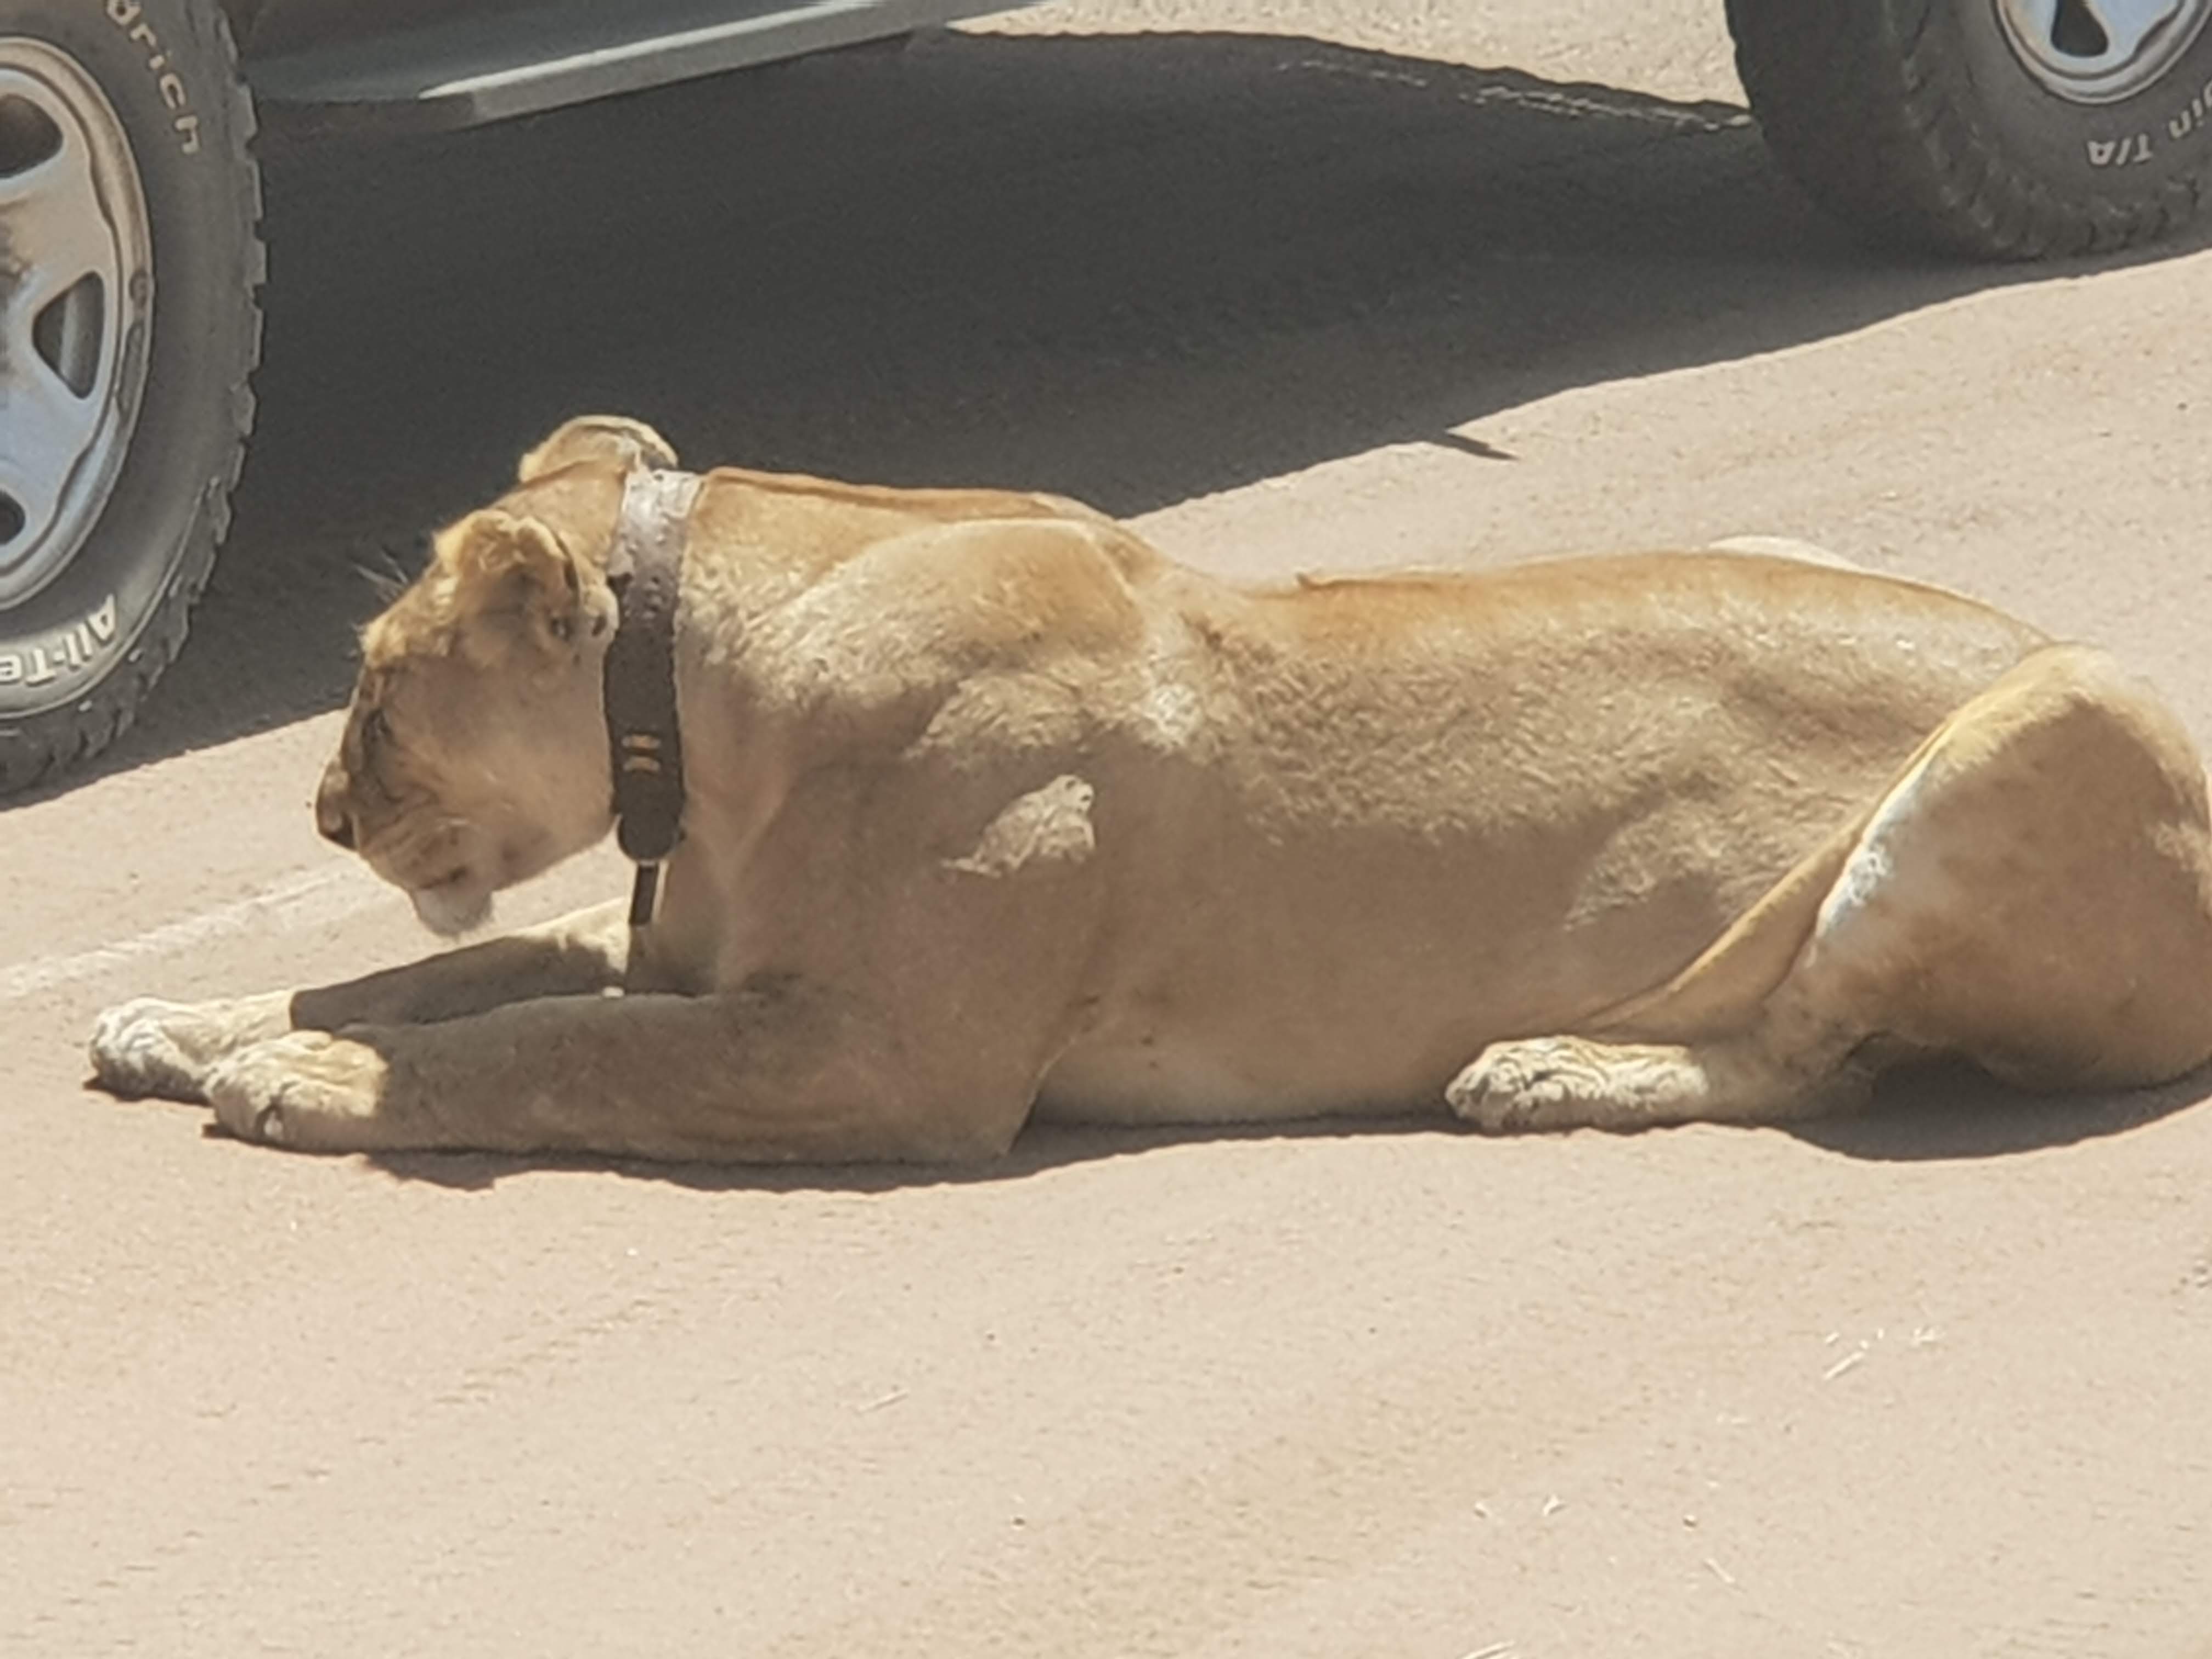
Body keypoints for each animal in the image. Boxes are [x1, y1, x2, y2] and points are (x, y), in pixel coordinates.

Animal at [88, 415, 2212, 1161]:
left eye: (371, 695)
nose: (321, 819)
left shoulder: (889, 1059)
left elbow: (544, 1043)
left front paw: (317, 1083)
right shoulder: (704, 965)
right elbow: (450, 970)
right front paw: (182, 1018)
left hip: (2060, 723)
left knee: (1820, 1054)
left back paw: (1554, 1070)